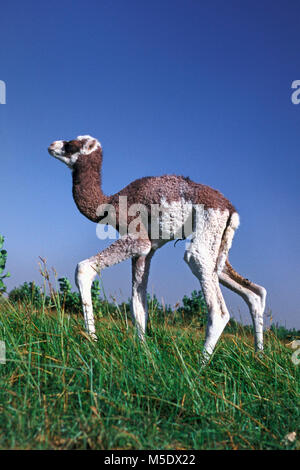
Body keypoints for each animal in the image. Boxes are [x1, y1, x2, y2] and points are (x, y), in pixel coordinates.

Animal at [48, 134, 266, 358]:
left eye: (71, 144)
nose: (52, 145)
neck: (110, 203)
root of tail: (231, 210)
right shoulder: (146, 252)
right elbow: (138, 305)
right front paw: (143, 351)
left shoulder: (139, 239)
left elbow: (83, 268)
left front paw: (92, 340)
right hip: (218, 250)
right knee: (255, 292)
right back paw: (259, 356)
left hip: (202, 243)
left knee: (219, 310)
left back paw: (200, 364)